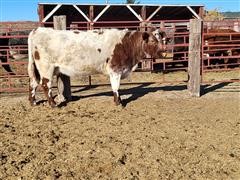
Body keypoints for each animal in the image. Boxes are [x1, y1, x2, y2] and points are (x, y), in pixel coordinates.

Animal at [27, 27, 165, 107]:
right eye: (153, 41)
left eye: (161, 40)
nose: (163, 53)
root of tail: (37, 30)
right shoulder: (115, 69)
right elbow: (116, 87)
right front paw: (118, 103)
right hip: (46, 67)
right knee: (45, 84)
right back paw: (53, 104)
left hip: (37, 68)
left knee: (33, 83)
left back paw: (33, 102)